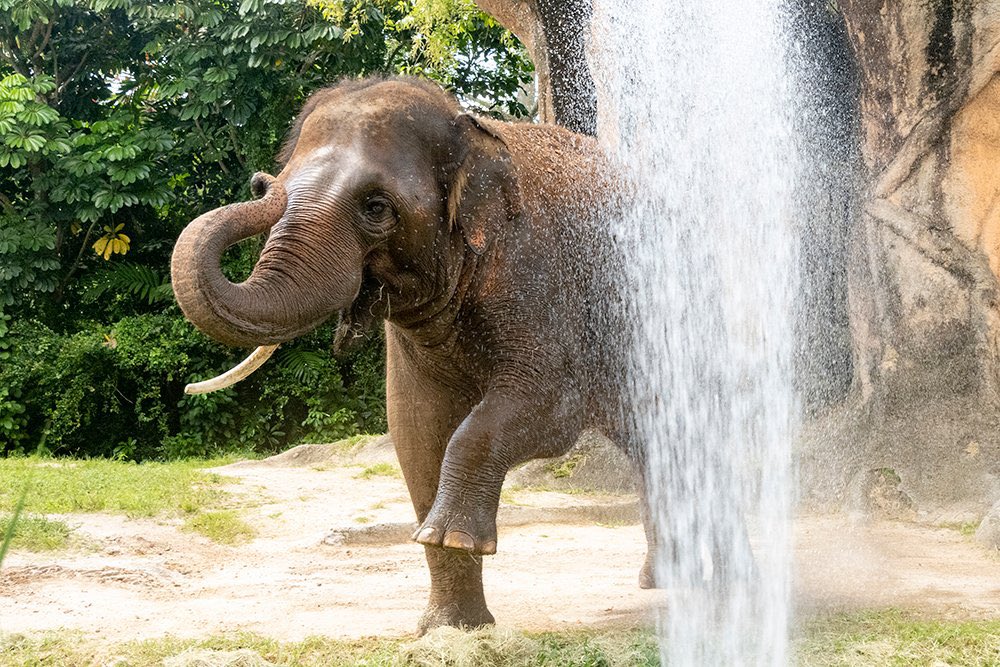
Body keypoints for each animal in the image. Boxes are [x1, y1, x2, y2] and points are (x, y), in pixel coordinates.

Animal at [170, 77, 657, 632]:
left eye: (376, 206)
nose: (260, 183)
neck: (474, 131)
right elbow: (416, 427)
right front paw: (450, 627)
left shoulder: (545, 278)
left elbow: (549, 406)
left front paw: (452, 537)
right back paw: (661, 580)